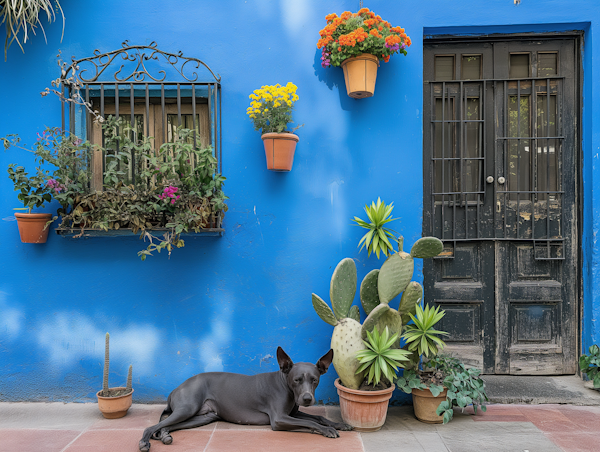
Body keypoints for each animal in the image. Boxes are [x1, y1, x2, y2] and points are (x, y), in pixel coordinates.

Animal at [139, 346, 352, 448]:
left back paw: (166, 435)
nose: (307, 399)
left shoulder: (293, 414)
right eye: (297, 380)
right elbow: (311, 423)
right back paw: (144, 442)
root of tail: (176, 388)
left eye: (314, 380)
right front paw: (327, 430)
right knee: (151, 427)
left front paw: (339, 424)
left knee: (165, 426)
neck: (285, 384)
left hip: (202, 417)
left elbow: (318, 417)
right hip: (187, 409)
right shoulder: (279, 419)